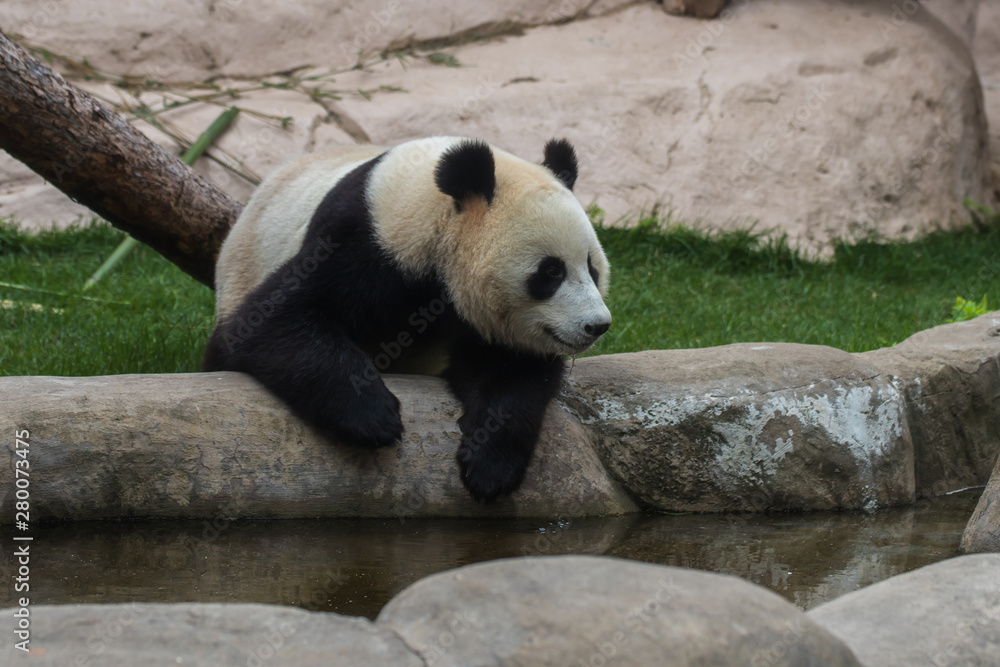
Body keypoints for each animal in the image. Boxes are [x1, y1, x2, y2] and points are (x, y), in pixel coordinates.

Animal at [203, 136, 611, 502]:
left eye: (592, 268)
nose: (597, 325)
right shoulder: (366, 243)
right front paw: (373, 417)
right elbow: (268, 321)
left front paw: (489, 467)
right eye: (551, 271)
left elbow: (512, 372)